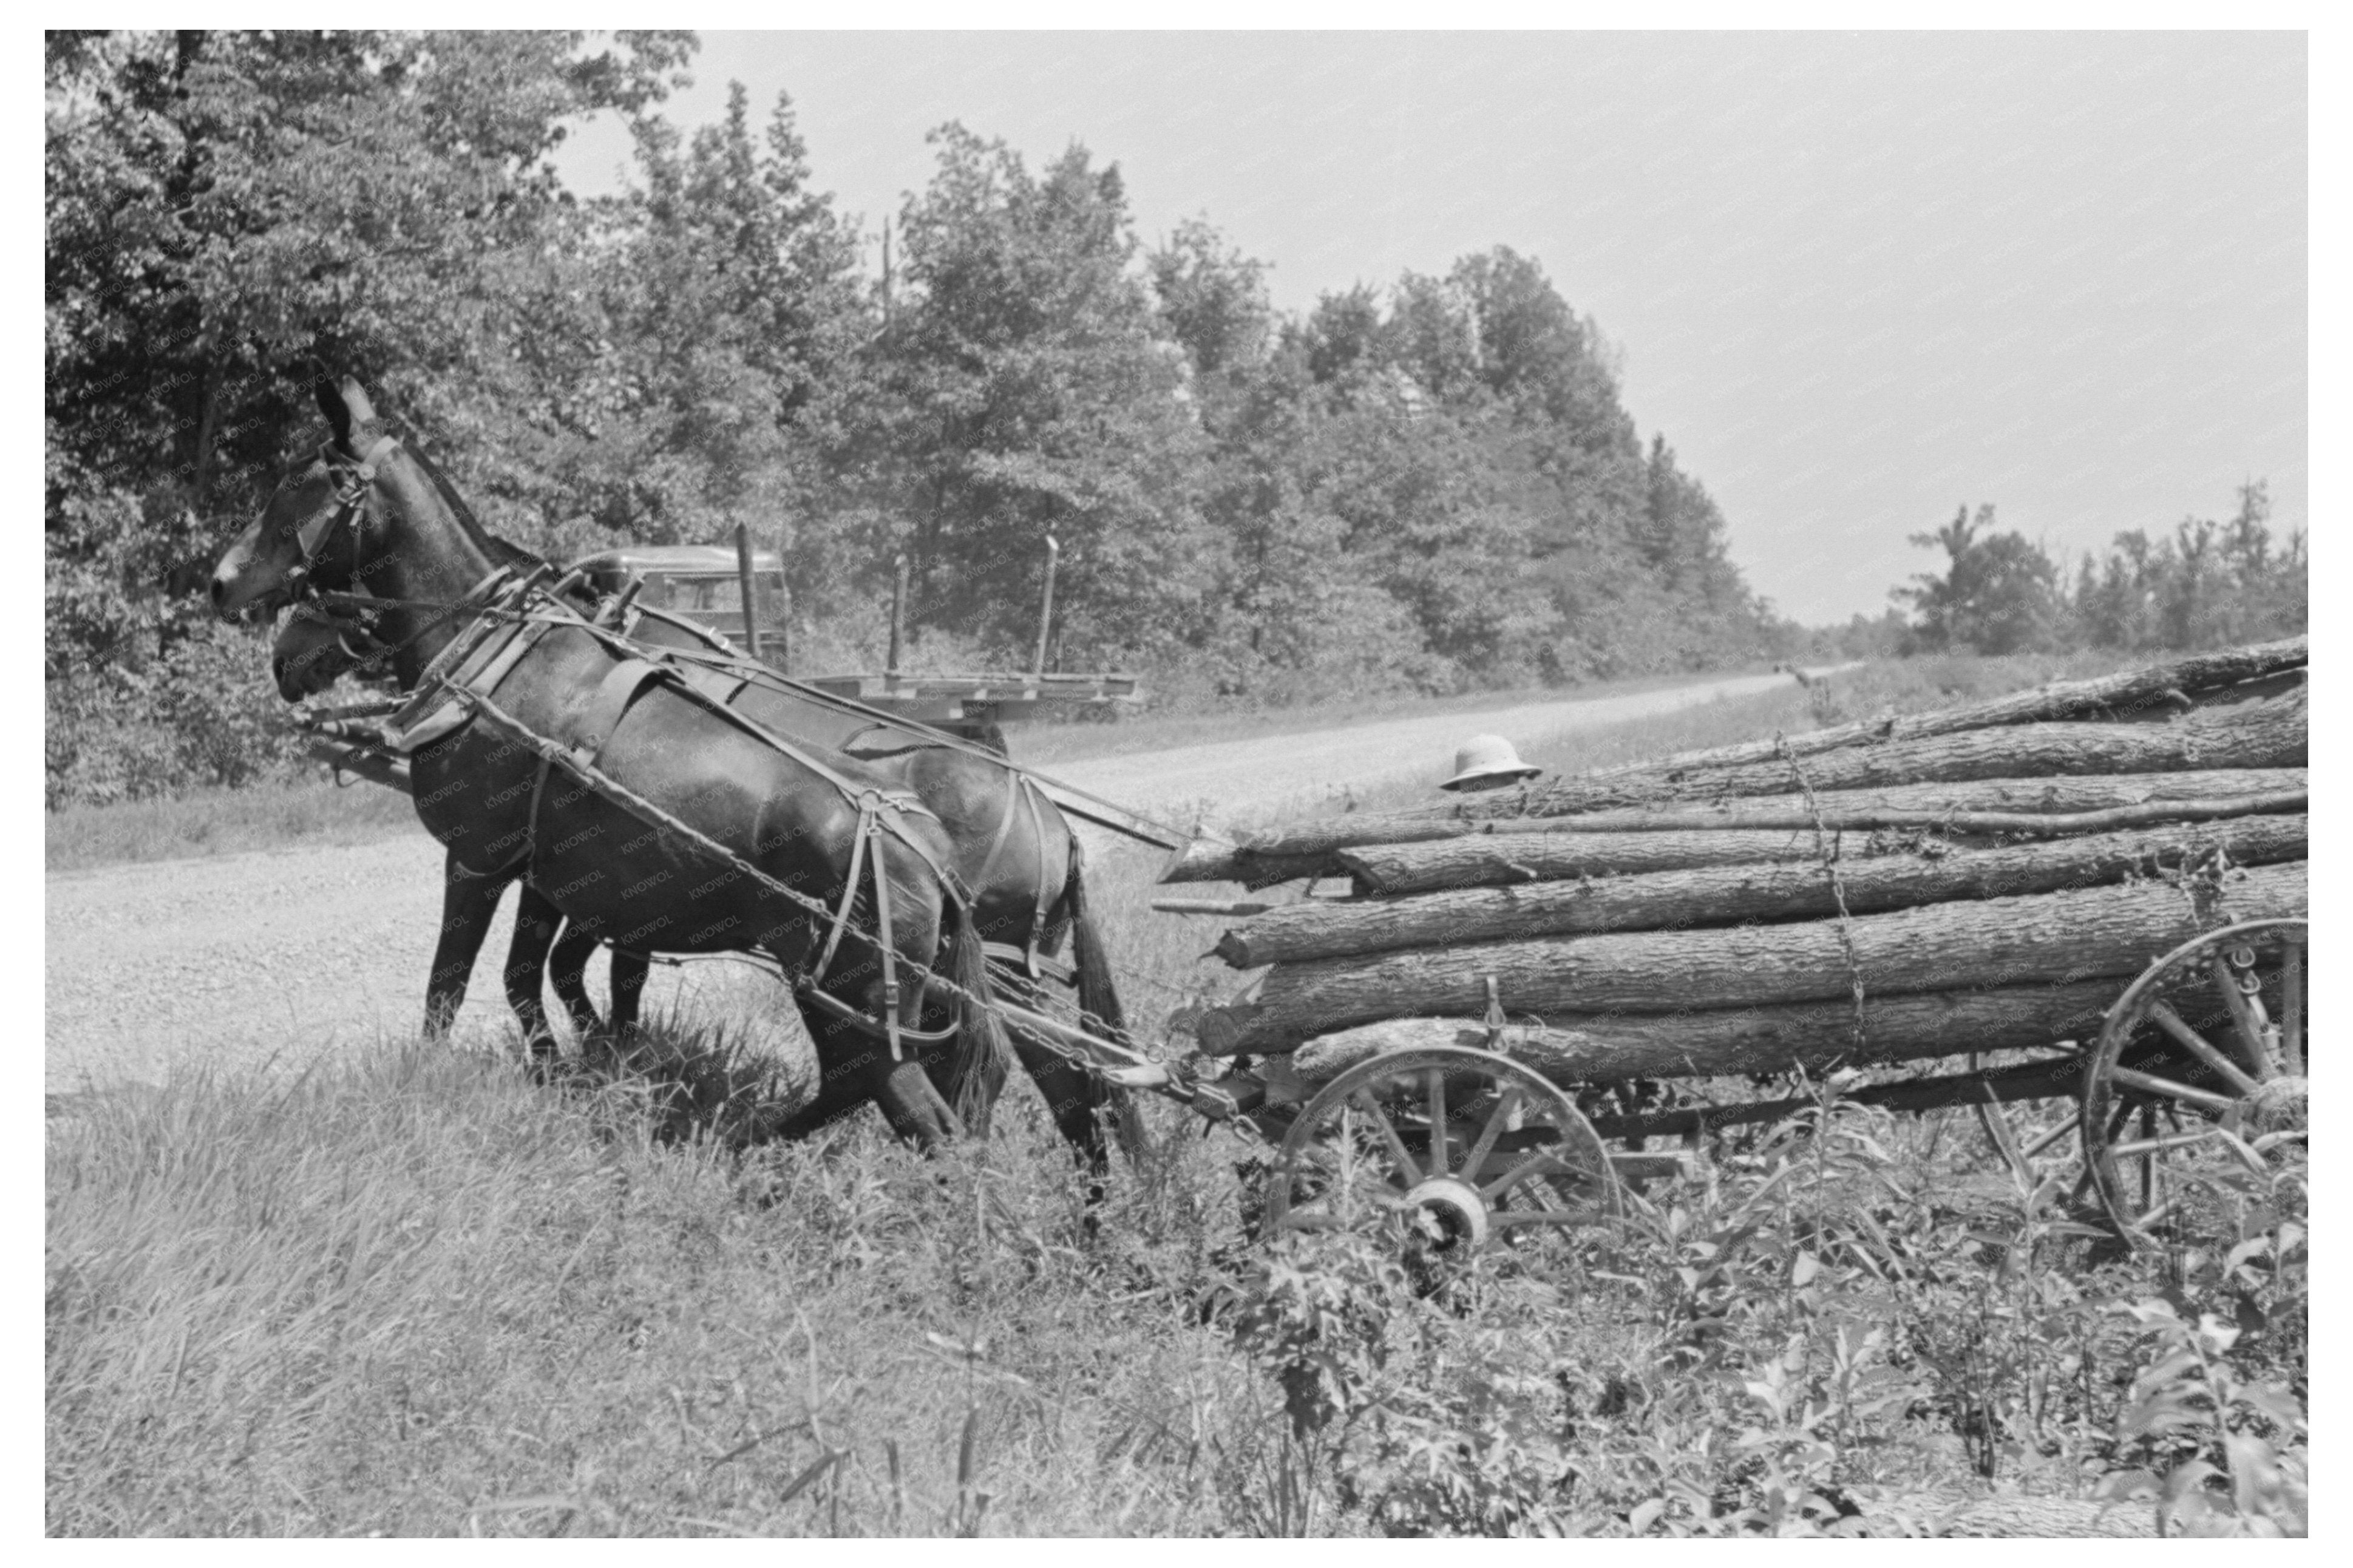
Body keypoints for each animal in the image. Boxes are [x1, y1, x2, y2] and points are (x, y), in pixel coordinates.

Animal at [216, 376, 1115, 1153]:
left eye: (295, 488)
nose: (224, 584)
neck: (493, 650)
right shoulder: (554, 875)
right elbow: (538, 977)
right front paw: (581, 1067)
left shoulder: (478, 860)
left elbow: (454, 987)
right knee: (1016, 1091)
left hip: (862, 1002)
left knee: (929, 1110)